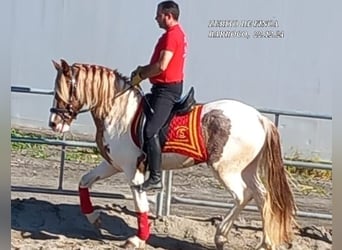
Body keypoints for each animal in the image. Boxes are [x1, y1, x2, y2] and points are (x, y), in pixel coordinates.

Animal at [48, 59, 296, 250]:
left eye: (64, 90)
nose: (54, 123)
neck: (119, 112)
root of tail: (259, 118)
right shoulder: (113, 164)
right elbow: (84, 182)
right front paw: (94, 217)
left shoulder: (132, 170)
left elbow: (140, 204)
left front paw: (137, 239)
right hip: (247, 169)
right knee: (262, 196)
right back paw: (265, 243)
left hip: (226, 170)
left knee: (242, 196)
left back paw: (220, 236)